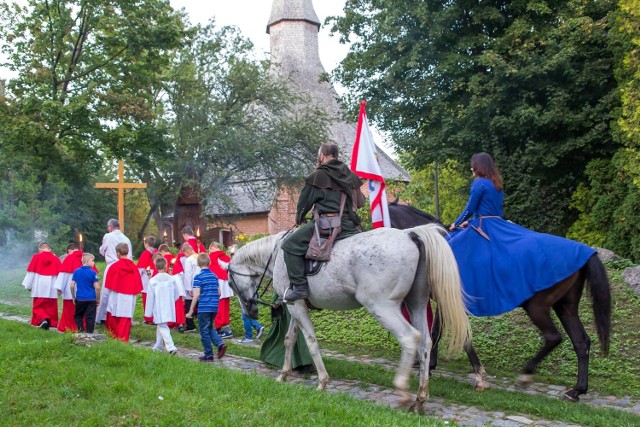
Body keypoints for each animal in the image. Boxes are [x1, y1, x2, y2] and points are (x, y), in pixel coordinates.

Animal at [230, 224, 470, 412]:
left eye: (231, 283)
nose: (249, 312)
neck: (277, 255)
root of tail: (409, 234)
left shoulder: (295, 305)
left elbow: (310, 341)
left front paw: (322, 382)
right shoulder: (294, 305)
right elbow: (289, 339)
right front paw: (283, 375)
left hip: (381, 306)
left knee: (410, 338)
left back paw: (402, 391)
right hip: (416, 303)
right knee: (425, 344)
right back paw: (420, 399)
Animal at [388, 202, 612, 402]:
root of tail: (586, 252)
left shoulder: (450, 302)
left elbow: (451, 335)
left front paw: (475, 375)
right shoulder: (448, 303)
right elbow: (441, 333)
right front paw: (431, 365)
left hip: (537, 307)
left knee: (553, 337)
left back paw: (526, 374)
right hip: (565, 307)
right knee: (581, 342)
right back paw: (577, 390)